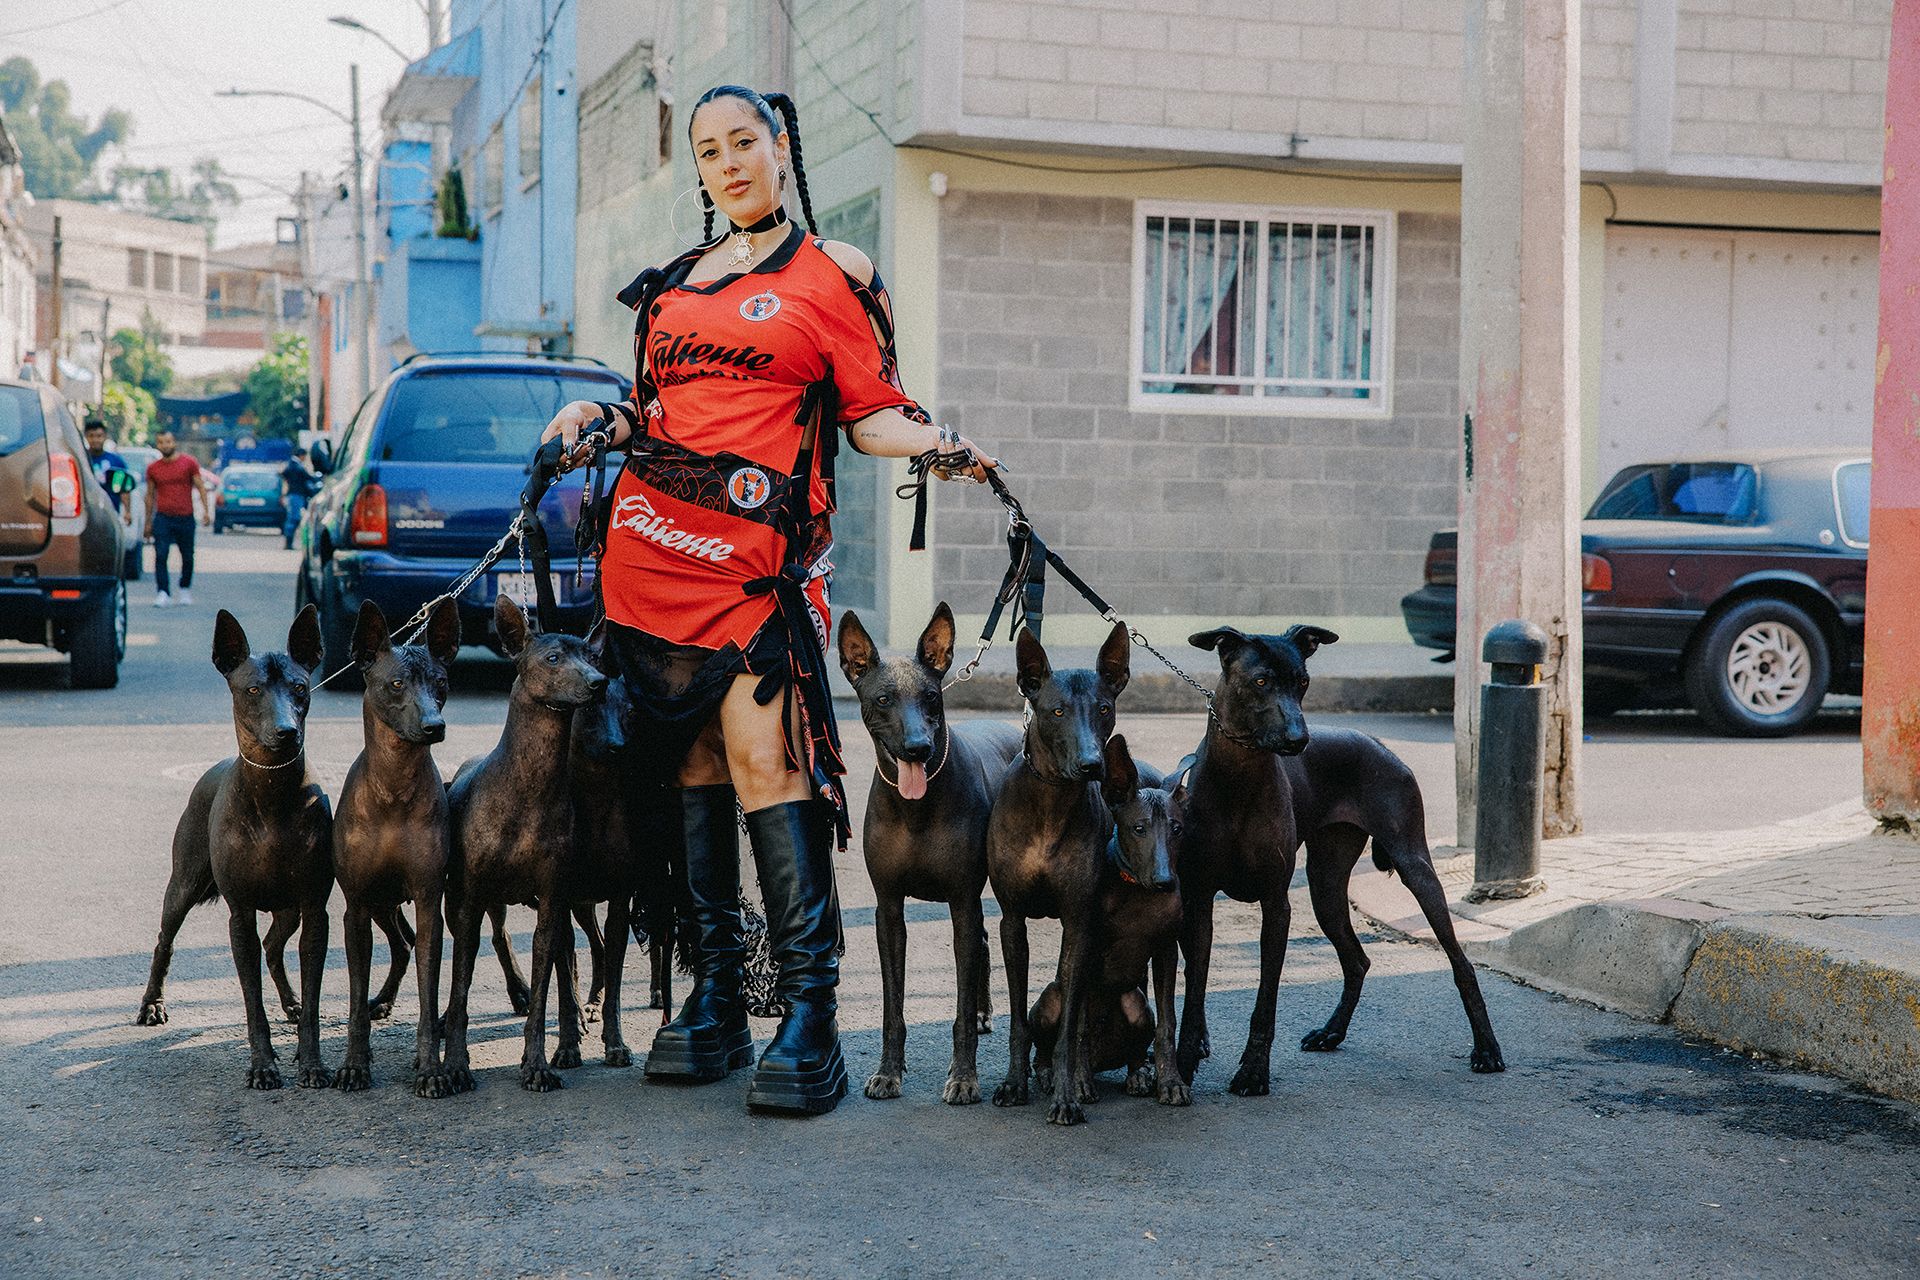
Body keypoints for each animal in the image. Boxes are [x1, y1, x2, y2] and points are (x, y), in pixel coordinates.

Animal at [136, 610, 334, 1090]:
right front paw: (263, 1064)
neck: (272, 791)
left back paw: (290, 1001)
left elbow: (314, 999)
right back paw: (151, 1003)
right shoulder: (240, 915)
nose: (286, 732)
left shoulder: (314, 910)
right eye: (253, 690)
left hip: (289, 909)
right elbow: (251, 1001)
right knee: (164, 942)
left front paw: (311, 1061)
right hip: (182, 885)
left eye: (300, 688)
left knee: (275, 946)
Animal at [837, 606, 1029, 1105]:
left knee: (981, 942)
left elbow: (958, 1008)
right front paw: (888, 1072)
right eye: (884, 699)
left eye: (930, 697)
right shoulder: (888, 909)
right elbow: (892, 1008)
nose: (918, 748)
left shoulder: (961, 901)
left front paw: (964, 1077)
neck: (915, 808)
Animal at [1029, 736, 1190, 1105]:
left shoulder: (1166, 950)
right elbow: (1078, 1027)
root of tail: (1105, 1061)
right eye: (1139, 829)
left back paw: (1138, 1073)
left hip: (1137, 1004)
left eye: (1176, 829)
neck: (1137, 891)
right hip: (1050, 999)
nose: (1165, 882)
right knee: (1044, 1048)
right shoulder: (1085, 949)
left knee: (1137, 1045)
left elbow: (1168, 1023)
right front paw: (1077, 1082)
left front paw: (1171, 1082)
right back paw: (1051, 1074)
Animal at [1167, 625, 1497, 1097]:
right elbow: (1194, 996)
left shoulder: (1276, 906)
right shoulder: (1199, 902)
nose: (1298, 740)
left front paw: (1253, 1073)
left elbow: (1265, 1003)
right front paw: (1183, 1065)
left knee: (1461, 964)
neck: (1240, 775)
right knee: (1357, 960)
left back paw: (1487, 1049)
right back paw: (1331, 1032)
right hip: (1325, 886)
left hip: (1415, 866)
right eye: (1261, 681)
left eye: (1303, 682)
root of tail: (1378, 743)